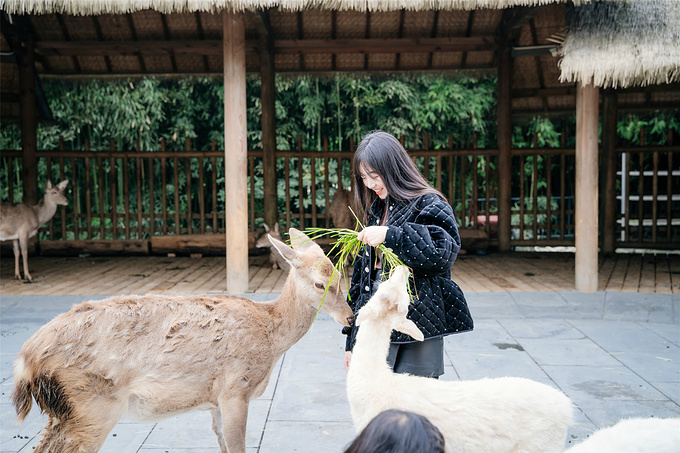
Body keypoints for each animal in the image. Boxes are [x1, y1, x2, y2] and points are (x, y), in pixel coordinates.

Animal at [13, 228, 354, 452]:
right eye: (320, 283)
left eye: (341, 276)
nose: (351, 318)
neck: (271, 336)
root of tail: (24, 361)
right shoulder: (236, 387)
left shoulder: (216, 398)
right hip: (91, 405)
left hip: (65, 411)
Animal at [348, 264, 576, 452]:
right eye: (387, 287)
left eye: (398, 290)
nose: (403, 268)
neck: (375, 381)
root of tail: (567, 408)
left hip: (540, 445)